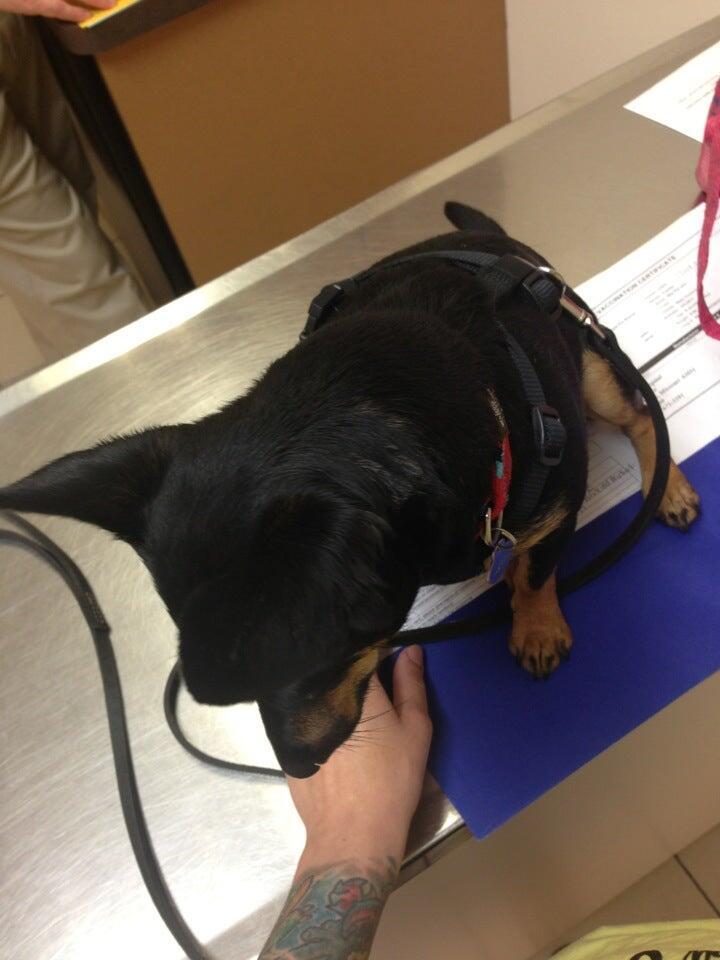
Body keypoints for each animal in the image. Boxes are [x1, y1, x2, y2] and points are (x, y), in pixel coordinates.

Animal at [0, 203, 700, 777]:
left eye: (313, 664)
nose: (297, 768)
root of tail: (496, 237)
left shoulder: (559, 505)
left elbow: (533, 572)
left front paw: (536, 628)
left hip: (593, 370)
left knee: (643, 414)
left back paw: (668, 488)